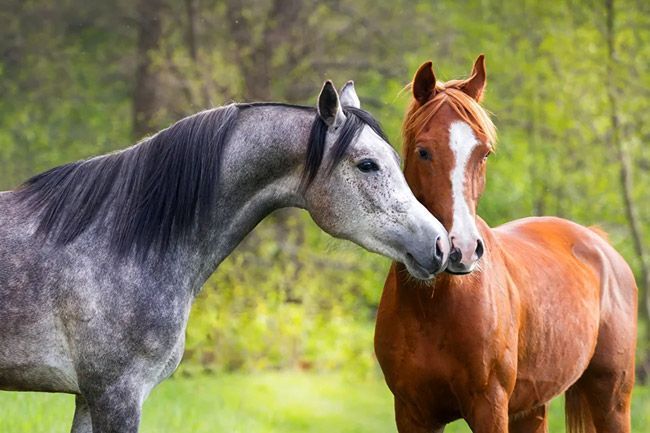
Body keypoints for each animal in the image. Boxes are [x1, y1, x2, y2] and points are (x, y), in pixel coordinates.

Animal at [374, 56, 637, 433]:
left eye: (483, 153)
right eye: (424, 152)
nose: (461, 250)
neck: (432, 306)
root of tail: (599, 243)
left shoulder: (490, 408)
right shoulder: (412, 413)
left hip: (612, 399)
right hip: (532, 408)